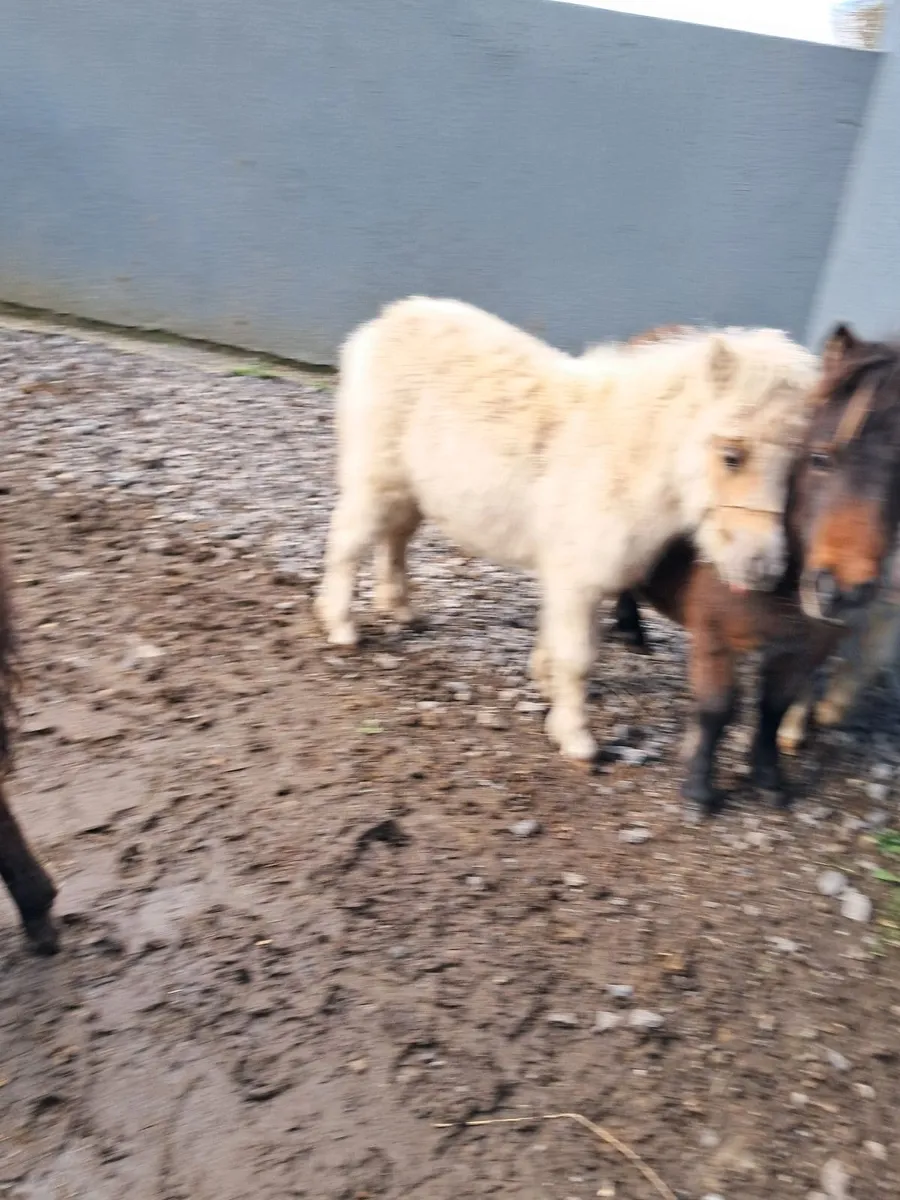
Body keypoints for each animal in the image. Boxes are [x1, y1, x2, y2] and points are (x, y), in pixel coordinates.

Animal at [316, 296, 817, 761]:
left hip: (410, 490)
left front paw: (543, 680)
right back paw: (341, 626)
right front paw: (576, 739)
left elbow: (558, 640)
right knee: (348, 543)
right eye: (732, 455)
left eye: (798, 469)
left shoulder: (573, 576)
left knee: (395, 540)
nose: (762, 568)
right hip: (375, 481)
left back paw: (400, 609)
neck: (622, 457)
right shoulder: (579, 578)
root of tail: (380, 324)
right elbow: (578, 656)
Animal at [612, 323, 900, 812]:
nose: (840, 591)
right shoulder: (713, 634)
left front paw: (768, 778)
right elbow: (717, 708)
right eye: (819, 457)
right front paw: (700, 790)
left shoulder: (808, 648)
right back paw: (630, 628)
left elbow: (774, 708)